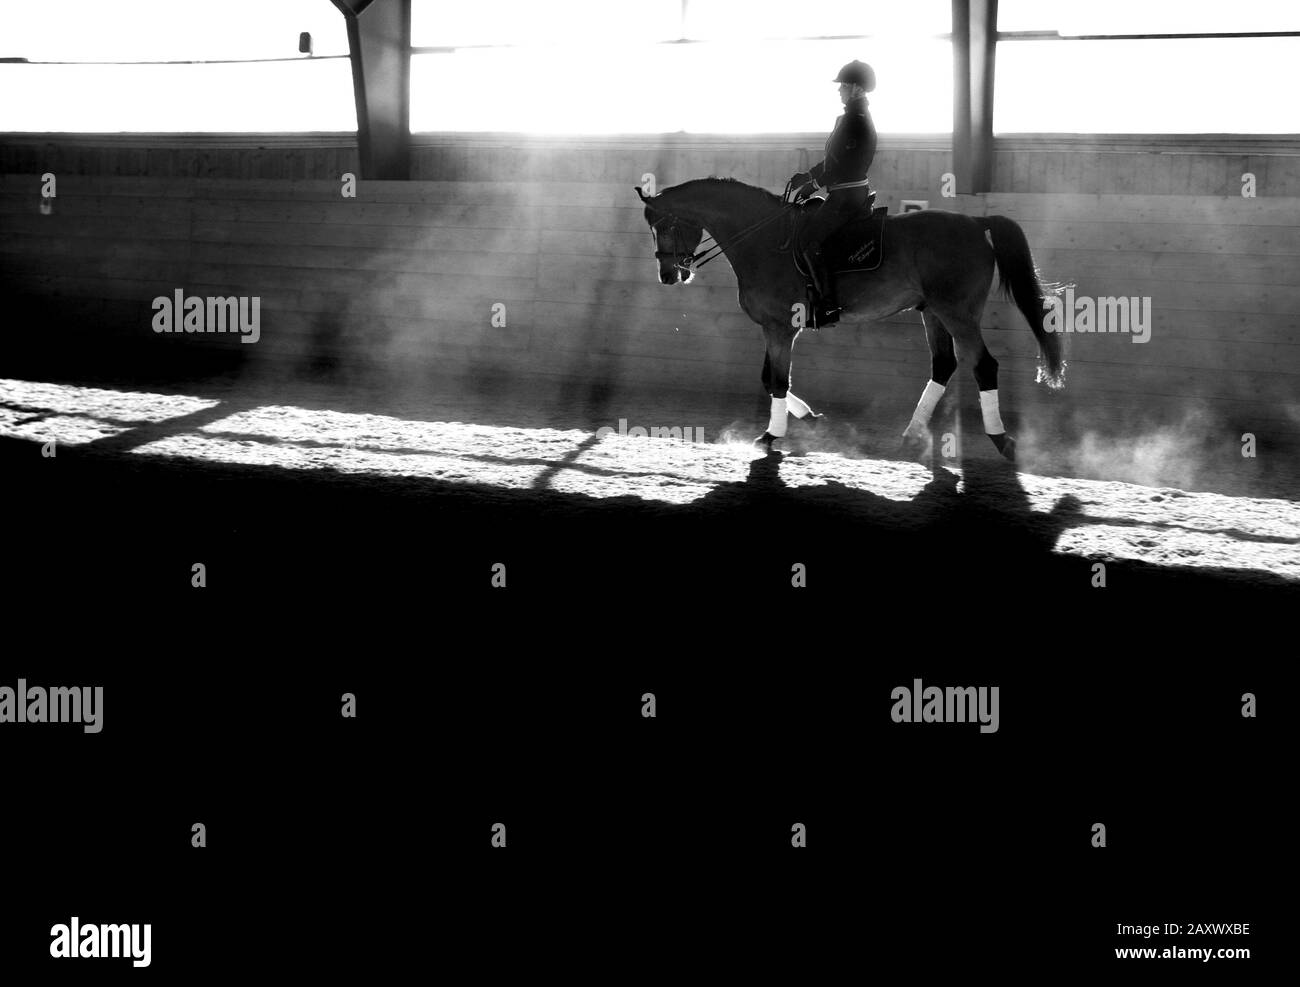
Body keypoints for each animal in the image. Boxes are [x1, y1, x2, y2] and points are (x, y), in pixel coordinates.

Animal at [631, 178, 1066, 462]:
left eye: (665, 225)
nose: (669, 275)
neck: (762, 239)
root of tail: (977, 222)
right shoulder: (774, 327)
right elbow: (770, 379)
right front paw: (808, 418)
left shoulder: (779, 326)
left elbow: (776, 380)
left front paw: (770, 436)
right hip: (934, 312)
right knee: (943, 366)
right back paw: (911, 436)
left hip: (957, 313)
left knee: (984, 366)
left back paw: (1002, 441)